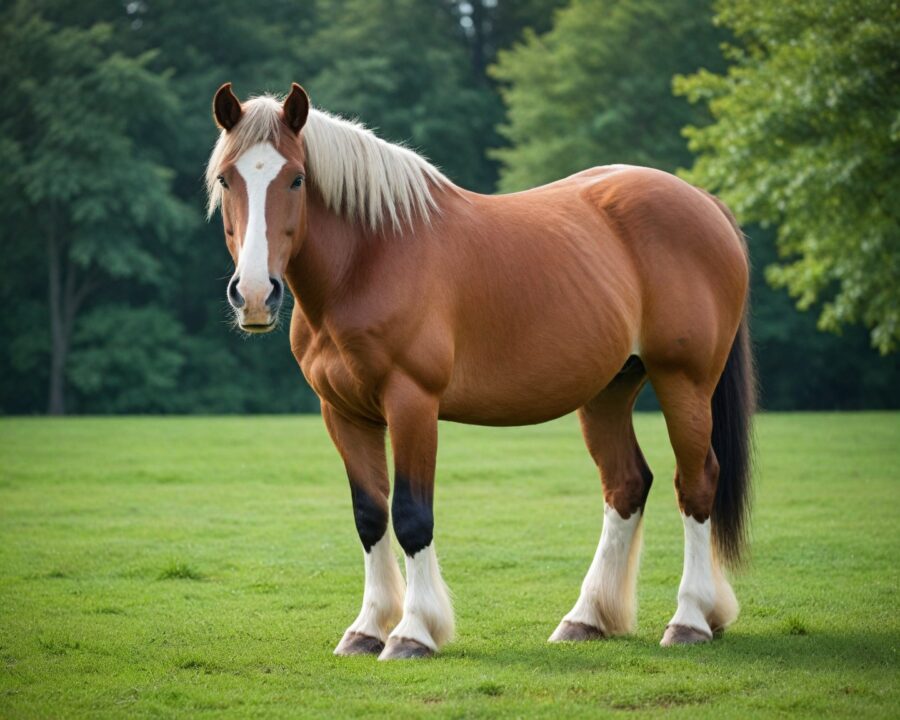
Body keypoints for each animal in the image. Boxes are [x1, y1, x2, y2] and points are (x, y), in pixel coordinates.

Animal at [205, 83, 755, 660]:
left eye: (296, 178)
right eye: (226, 178)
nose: (255, 295)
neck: (370, 260)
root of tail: (705, 202)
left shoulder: (412, 403)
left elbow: (412, 515)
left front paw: (412, 631)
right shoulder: (343, 412)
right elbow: (370, 516)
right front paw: (367, 628)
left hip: (683, 382)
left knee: (695, 484)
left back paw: (690, 619)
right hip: (609, 390)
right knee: (626, 485)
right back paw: (586, 618)